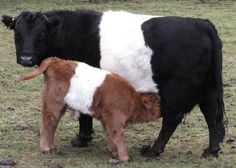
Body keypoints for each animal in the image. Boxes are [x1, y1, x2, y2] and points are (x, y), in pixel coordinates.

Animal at [17, 56, 160, 161]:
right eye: (158, 105)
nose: (163, 112)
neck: (131, 99)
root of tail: (57, 60)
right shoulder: (115, 119)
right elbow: (118, 136)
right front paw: (124, 158)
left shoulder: (107, 119)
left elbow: (110, 135)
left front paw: (114, 153)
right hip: (53, 104)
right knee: (47, 123)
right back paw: (46, 148)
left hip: (59, 106)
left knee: (52, 124)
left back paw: (52, 147)